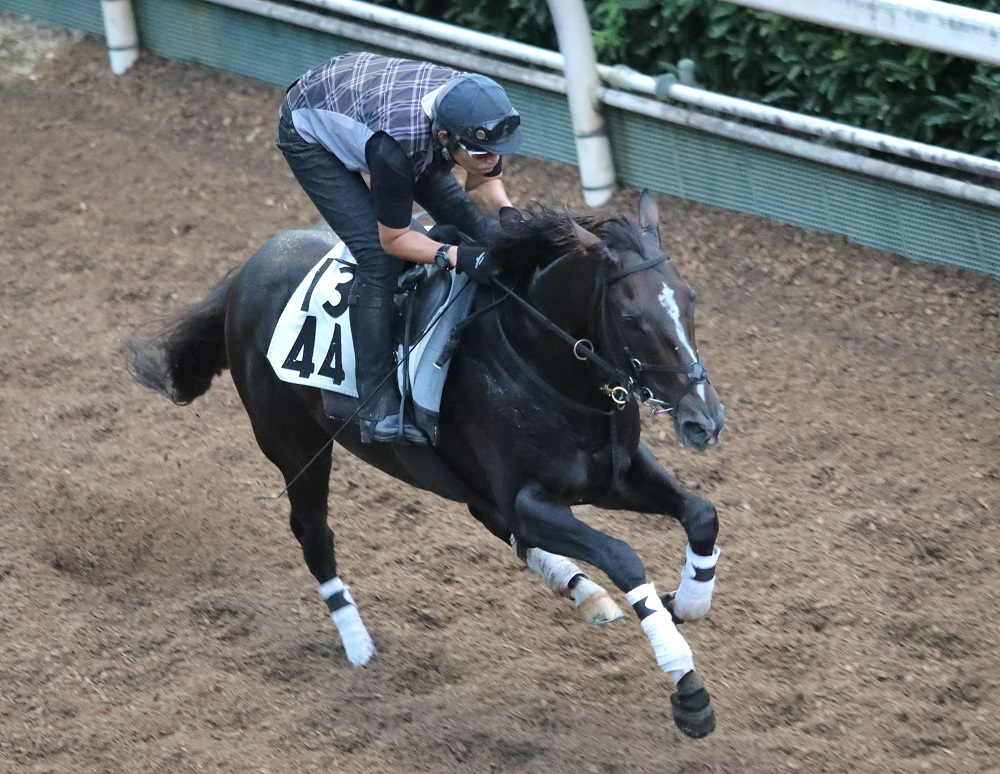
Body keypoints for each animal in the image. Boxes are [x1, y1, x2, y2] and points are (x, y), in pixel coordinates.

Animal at [131, 192, 728, 740]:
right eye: (631, 318)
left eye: (692, 298)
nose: (706, 419)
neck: (537, 359)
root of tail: (247, 271)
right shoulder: (529, 498)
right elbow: (623, 556)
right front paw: (686, 684)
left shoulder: (614, 475)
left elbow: (702, 512)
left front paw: (688, 602)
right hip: (294, 444)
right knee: (313, 532)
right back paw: (358, 644)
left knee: (493, 523)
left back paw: (583, 589)